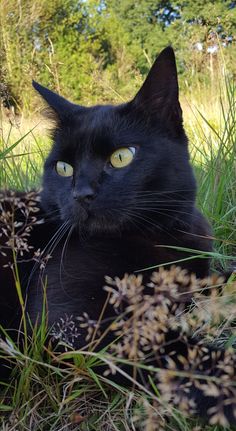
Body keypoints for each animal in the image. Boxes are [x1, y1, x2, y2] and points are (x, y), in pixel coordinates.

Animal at [2, 46, 236, 426]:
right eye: (63, 168)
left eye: (122, 157)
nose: (81, 194)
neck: (160, 234)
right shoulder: (73, 320)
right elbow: (176, 353)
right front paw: (224, 384)